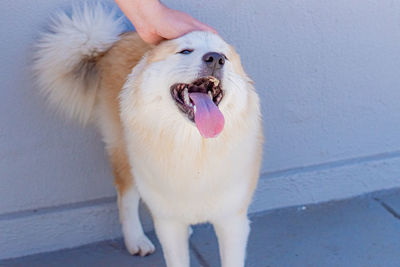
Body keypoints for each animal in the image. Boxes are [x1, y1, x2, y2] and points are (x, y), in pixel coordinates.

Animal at [34, 4, 264, 267]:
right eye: (186, 51)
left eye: (225, 55)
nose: (216, 58)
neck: (193, 147)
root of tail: (113, 41)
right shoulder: (168, 224)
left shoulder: (232, 220)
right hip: (124, 155)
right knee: (126, 197)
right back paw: (136, 240)